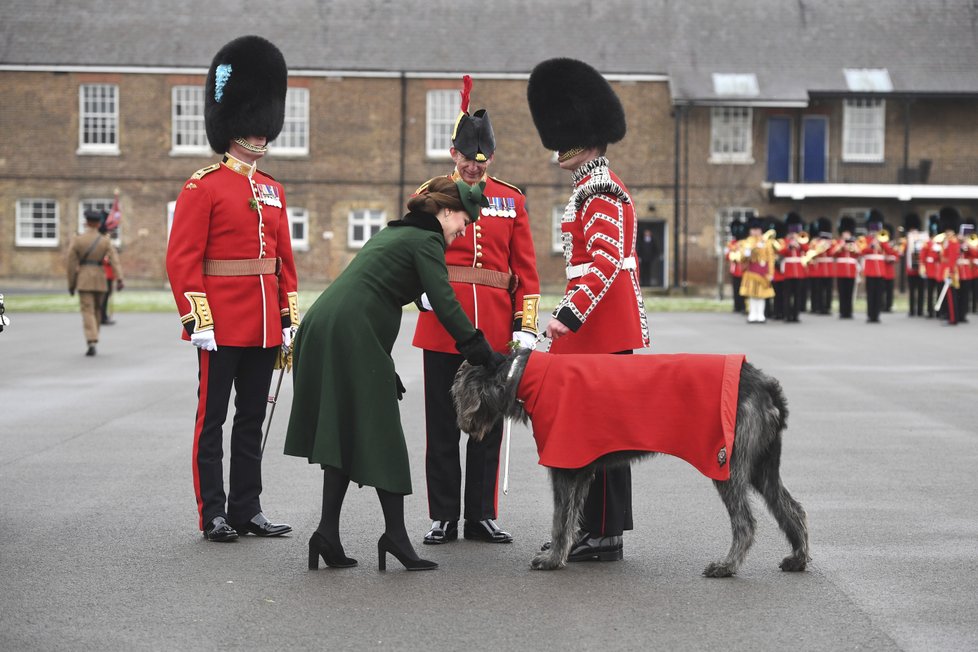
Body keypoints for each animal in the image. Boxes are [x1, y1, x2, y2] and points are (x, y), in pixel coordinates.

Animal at [450, 348, 808, 572]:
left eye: (457, 391)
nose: (462, 424)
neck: (523, 376)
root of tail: (765, 384)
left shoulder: (563, 465)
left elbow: (559, 519)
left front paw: (551, 559)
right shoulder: (579, 467)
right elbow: (571, 516)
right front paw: (564, 552)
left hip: (727, 464)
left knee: (745, 522)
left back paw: (727, 566)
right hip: (762, 465)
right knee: (790, 507)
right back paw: (798, 558)